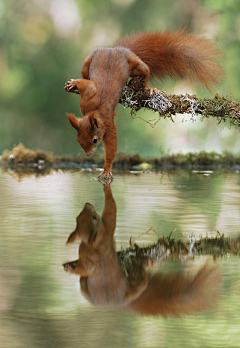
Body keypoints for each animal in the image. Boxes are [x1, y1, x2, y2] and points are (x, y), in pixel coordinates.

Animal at [63, 182, 221, 316]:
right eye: (93, 218)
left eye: (79, 217)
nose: (87, 204)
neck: (93, 244)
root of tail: (118, 305)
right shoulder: (106, 232)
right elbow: (111, 210)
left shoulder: (88, 248)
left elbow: (86, 267)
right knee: (140, 278)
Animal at [64, 29, 223, 177]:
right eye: (78, 139)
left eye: (95, 140)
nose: (88, 154)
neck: (93, 111)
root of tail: (116, 48)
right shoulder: (87, 98)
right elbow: (86, 84)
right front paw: (74, 83)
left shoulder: (108, 124)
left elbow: (112, 147)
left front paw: (107, 169)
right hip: (88, 61)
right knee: (85, 73)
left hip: (136, 64)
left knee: (145, 72)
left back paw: (148, 87)